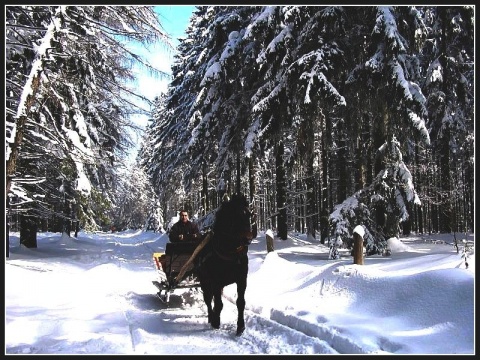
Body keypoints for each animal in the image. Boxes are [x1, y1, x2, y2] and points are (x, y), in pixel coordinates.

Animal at [197, 193, 256, 336]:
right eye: (235, 215)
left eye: (248, 214)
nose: (248, 238)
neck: (230, 254)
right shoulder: (216, 281)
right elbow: (219, 304)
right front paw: (216, 322)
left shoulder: (242, 279)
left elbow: (240, 303)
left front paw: (240, 326)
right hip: (205, 280)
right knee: (208, 299)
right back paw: (211, 316)